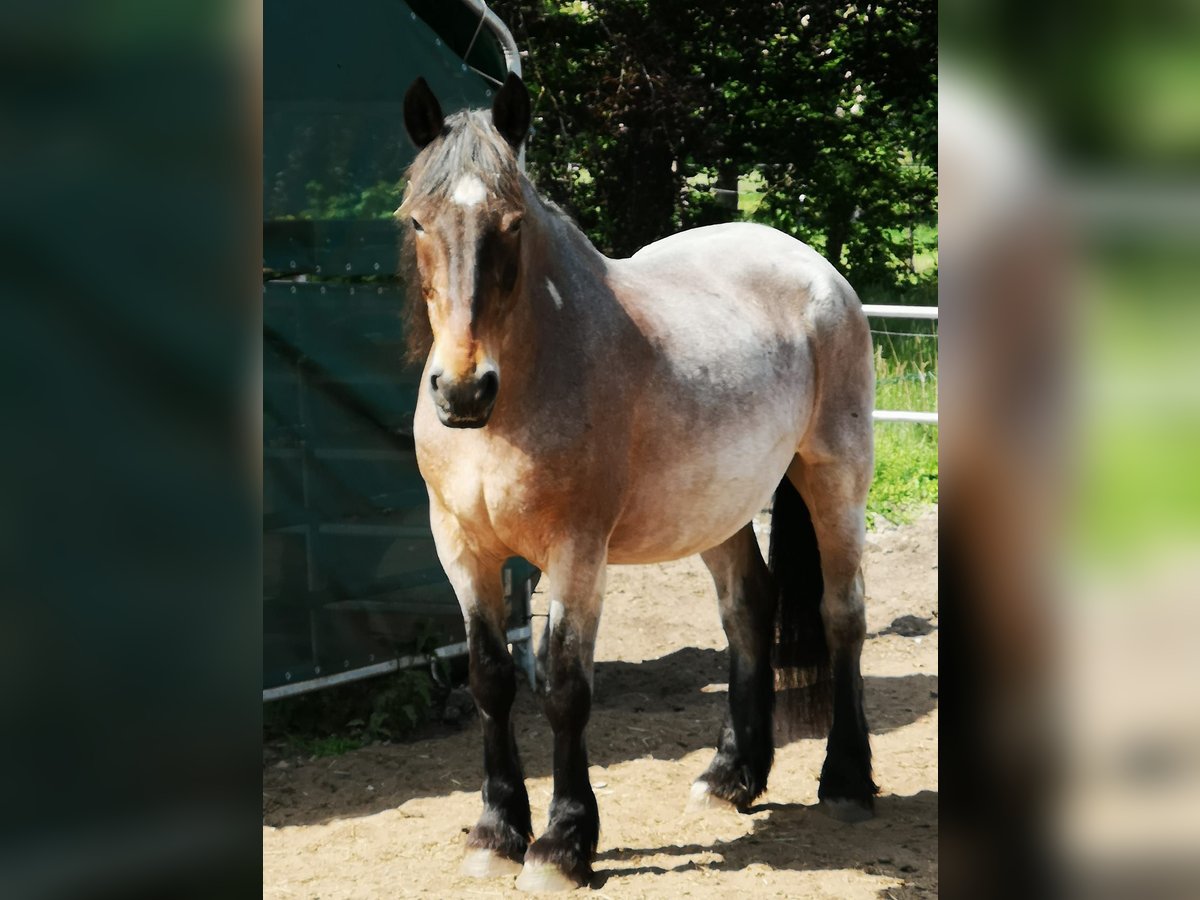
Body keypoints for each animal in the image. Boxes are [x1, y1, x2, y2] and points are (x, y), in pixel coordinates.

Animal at [398, 74, 878, 892]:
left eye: (512, 224)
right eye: (418, 221)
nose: (462, 391)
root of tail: (813, 268)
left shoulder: (577, 552)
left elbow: (564, 686)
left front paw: (561, 845)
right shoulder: (460, 549)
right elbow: (490, 679)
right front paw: (495, 833)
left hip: (834, 477)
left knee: (841, 612)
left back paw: (845, 779)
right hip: (716, 509)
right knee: (749, 608)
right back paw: (730, 777)